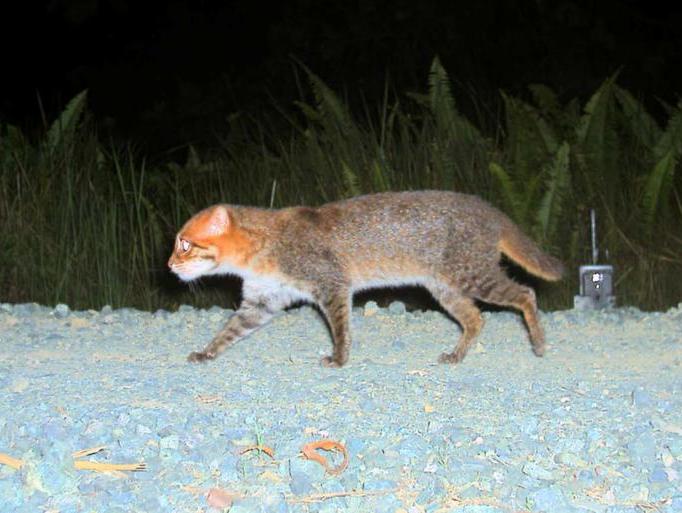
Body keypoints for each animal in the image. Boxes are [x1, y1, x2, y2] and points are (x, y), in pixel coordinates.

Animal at [167, 190, 560, 366]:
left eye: (185, 244)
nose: (169, 265)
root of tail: (490, 210)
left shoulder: (332, 286)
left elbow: (341, 328)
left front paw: (339, 358)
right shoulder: (262, 301)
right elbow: (229, 331)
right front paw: (206, 352)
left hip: (473, 276)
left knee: (526, 294)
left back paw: (539, 342)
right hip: (445, 288)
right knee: (476, 319)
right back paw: (457, 354)